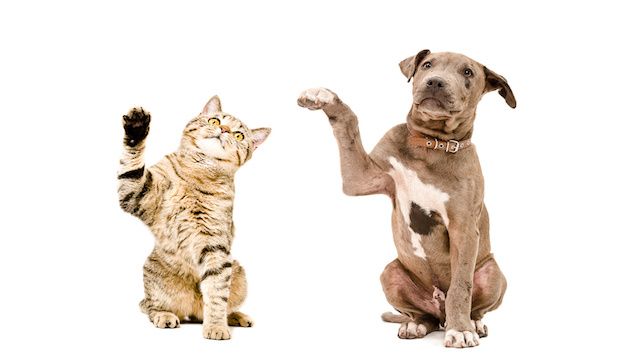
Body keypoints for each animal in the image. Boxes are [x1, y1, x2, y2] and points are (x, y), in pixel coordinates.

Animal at [117, 95, 270, 340]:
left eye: (239, 135)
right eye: (215, 121)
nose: (224, 130)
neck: (199, 173)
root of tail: (192, 308)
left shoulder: (216, 247)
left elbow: (217, 293)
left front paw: (216, 326)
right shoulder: (136, 194)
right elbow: (131, 167)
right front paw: (137, 128)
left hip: (238, 273)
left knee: (220, 305)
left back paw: (235, 317)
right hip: (154, 278)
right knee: (150, 306)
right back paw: (164, 315)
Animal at [296, 50, 516, 348]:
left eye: (468, 72)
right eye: (427, 65)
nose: (435, 82)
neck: (432, 144)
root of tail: (439, 311)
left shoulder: (464, 229)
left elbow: (461, 286)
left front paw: (460, 331)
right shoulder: (362, 178)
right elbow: (349, 127)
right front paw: (325, 97)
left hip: (493, 272)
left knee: (471, 304)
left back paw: (472, 323)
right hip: (391, 272)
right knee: (424, 315)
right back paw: (415, 325)